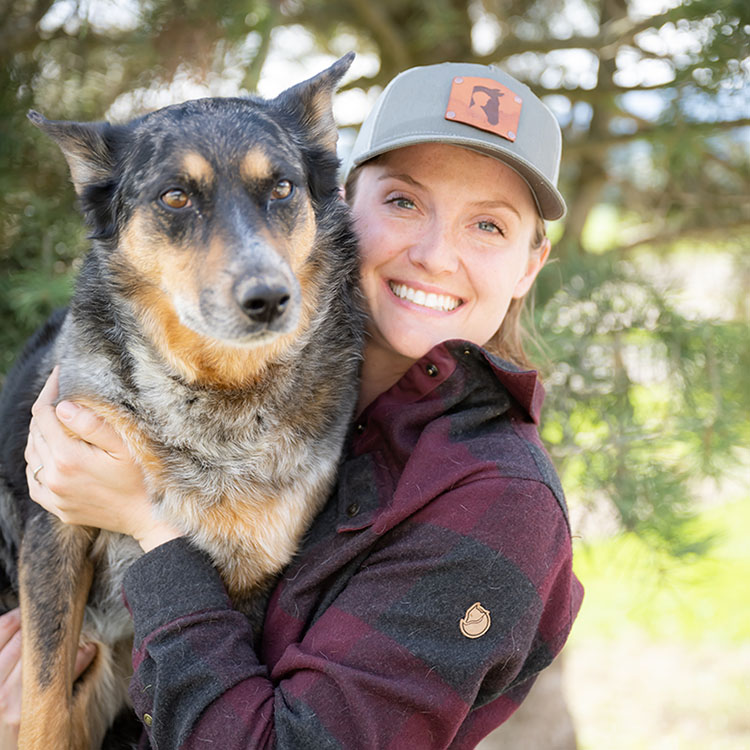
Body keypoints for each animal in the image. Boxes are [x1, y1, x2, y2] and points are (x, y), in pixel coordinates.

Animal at [0, 54, 364, 750]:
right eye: (175, 196)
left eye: (282, 188)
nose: (268, 298)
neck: (215, 399)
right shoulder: (54, 533)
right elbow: (43, 702)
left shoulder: (250, 573)